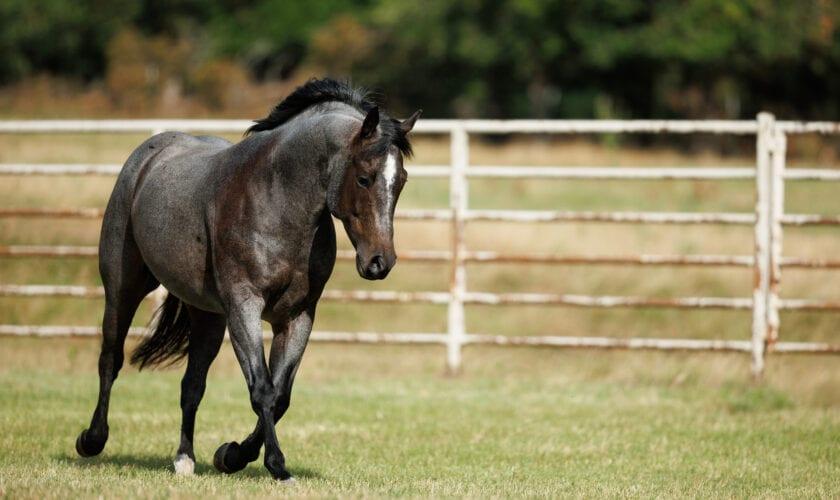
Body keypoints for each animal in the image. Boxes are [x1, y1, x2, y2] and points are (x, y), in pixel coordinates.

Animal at [74, 78, 421, 481]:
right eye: (365, 178)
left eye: (401, 181)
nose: (380, 262)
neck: (277, 200)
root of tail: (145, 159)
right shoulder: (244, 307)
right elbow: (262, 389)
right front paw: (277, 466)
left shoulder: (297, 317)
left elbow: (281, 395)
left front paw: (232, 455)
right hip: (123, 288)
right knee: (110, 359)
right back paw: (92, 440)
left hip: (207, 315)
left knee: (192, 384)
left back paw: (184, 459)